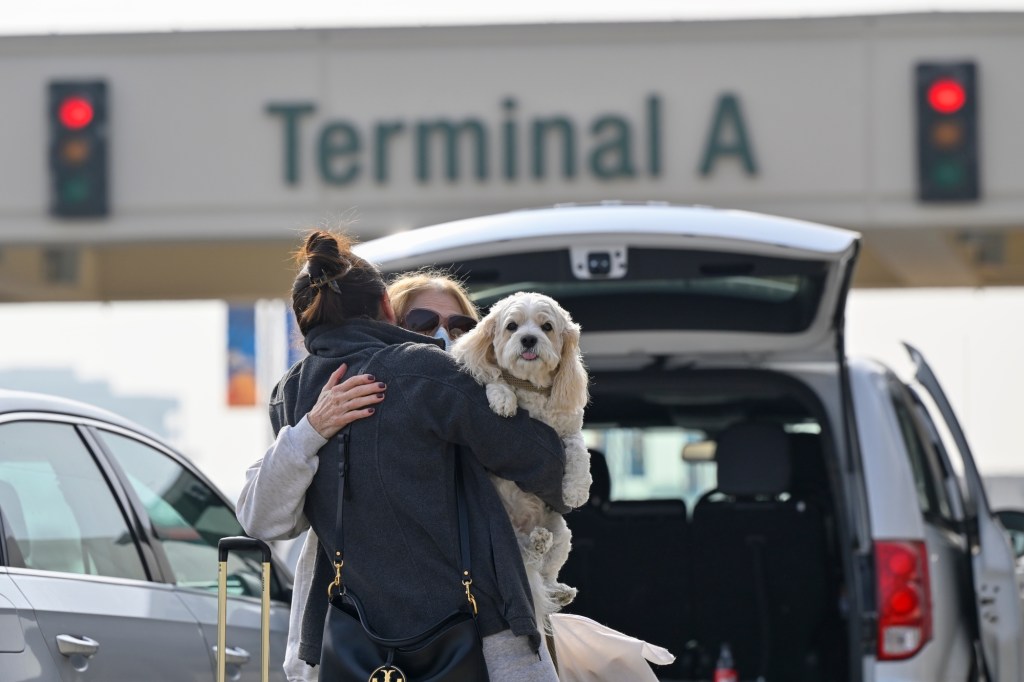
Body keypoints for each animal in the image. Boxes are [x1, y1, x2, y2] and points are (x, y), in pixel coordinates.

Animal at [450, 288, 589, 630]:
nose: (528, 339)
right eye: (511, 326)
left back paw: (556, 583)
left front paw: (576, 491)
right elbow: (495, 378)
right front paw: (503, 399)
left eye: (547, 327)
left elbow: (579, 454)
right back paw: (535, 547)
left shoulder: (570, 431)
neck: (530, 386)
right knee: (526, 559)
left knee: (543, 570)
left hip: (562, 534)